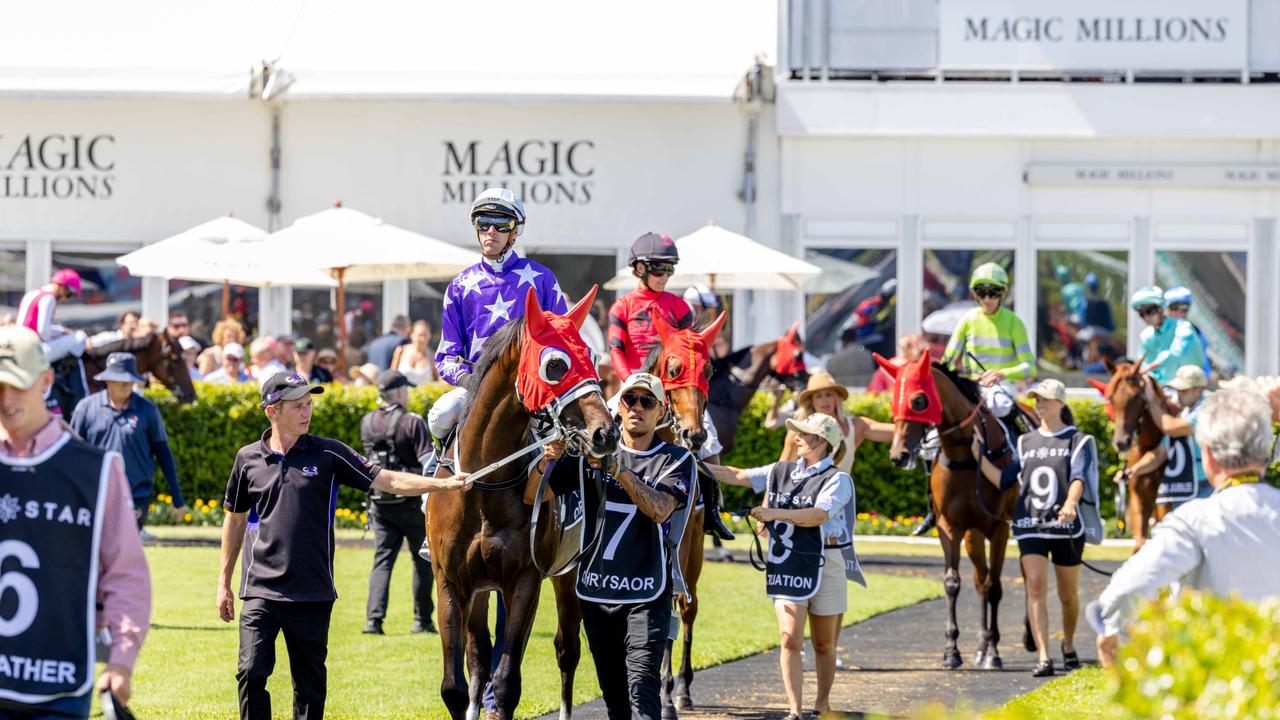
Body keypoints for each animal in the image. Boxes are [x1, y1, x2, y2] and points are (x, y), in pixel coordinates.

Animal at [424, 286, 619, 717]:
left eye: (591, 355)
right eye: (556, 365)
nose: (606, 433)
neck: (484, 486)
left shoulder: (526, 579)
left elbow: (507, 681)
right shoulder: (450, 581)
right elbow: (454, 685)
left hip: (567, 575)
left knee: (567, 649)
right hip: (480, 586)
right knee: (479, 654)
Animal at [875, 351, 1013, 671]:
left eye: (919, 400)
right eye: (893, 400)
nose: (898, 456)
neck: (967, 455)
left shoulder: (1000, 527)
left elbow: (997, 586)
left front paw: (994, 653)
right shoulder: (949, 526)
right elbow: (953, 583)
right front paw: (952, 651)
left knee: (996, 580)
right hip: (973, 534)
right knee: (980, 580)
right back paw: (980, 647)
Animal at [1085, 353, 1172, 548]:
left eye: (1137, 397)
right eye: (1110, 398)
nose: (1121, 442)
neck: (1149, 447)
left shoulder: (1166, 505)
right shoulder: (1139, 502)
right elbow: (1139, 543)